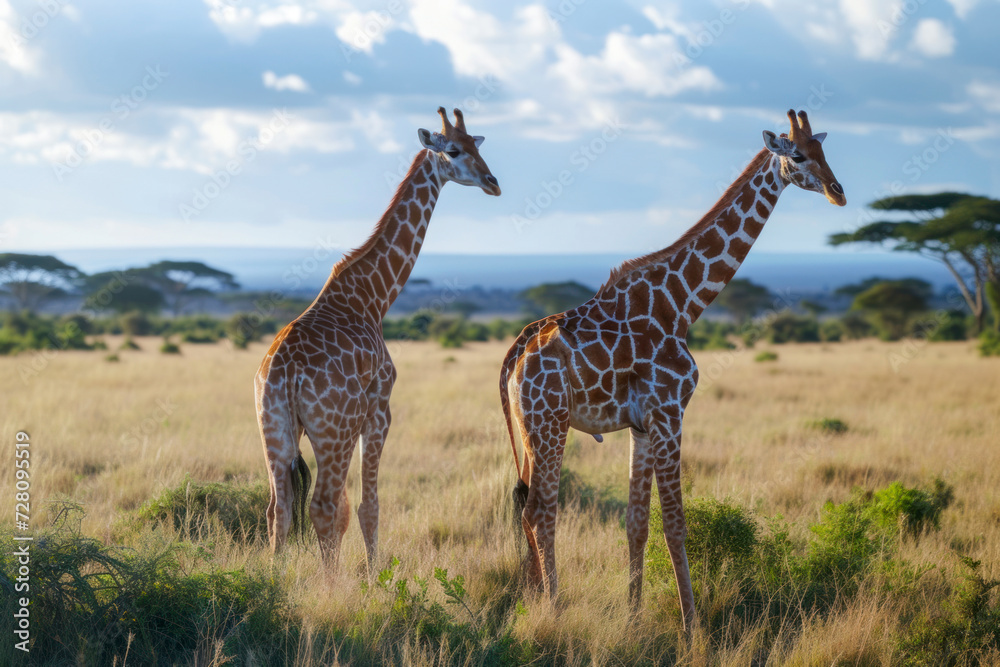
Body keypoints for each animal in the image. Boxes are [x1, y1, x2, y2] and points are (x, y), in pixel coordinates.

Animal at [255, 107, 500, 569]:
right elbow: (368, 507)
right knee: (323, 505)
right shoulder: (380, 408)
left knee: (279, 508)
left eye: (478, 146)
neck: (372, 296)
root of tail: (285, 372)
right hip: (332, 431)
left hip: (272, 429)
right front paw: (373, 578)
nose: (493, 182)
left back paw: (273, 580)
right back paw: (330, 585)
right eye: (454, 150)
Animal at [499, 110, 845, 631]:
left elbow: (637, 523)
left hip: (528, 426)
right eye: (799, 156)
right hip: (550, 423)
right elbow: (676, 523)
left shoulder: (641, 425)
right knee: (541, 511)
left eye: (825, 151)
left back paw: (536, 599)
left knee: (527, 509)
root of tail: (515, 354)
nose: (837, 191)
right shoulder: (670, 412)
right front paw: (691, 627)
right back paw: (553, 608)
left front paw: (634, 615)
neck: (682, 304)